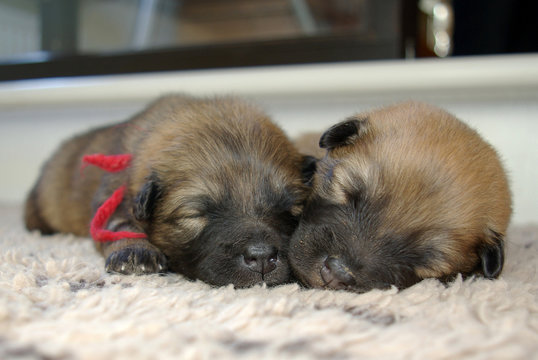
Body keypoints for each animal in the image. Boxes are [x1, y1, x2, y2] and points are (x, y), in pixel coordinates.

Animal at [25, 94, 310, 288]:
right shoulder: (115, 194)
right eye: (195, 215)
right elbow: (118, 224)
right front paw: (135, 252)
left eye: (290, 209)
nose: (262, 258)